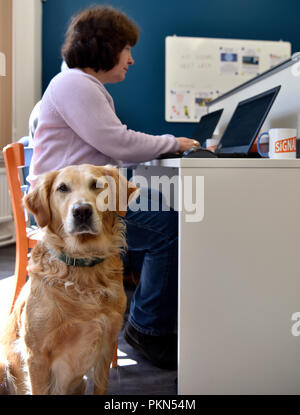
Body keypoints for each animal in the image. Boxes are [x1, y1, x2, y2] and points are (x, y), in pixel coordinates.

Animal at [0, 164, 138, 394]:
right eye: (62, 188)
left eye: (97, 185)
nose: (81, 210)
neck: (81, 265)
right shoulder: (36, 355)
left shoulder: (106, 346)